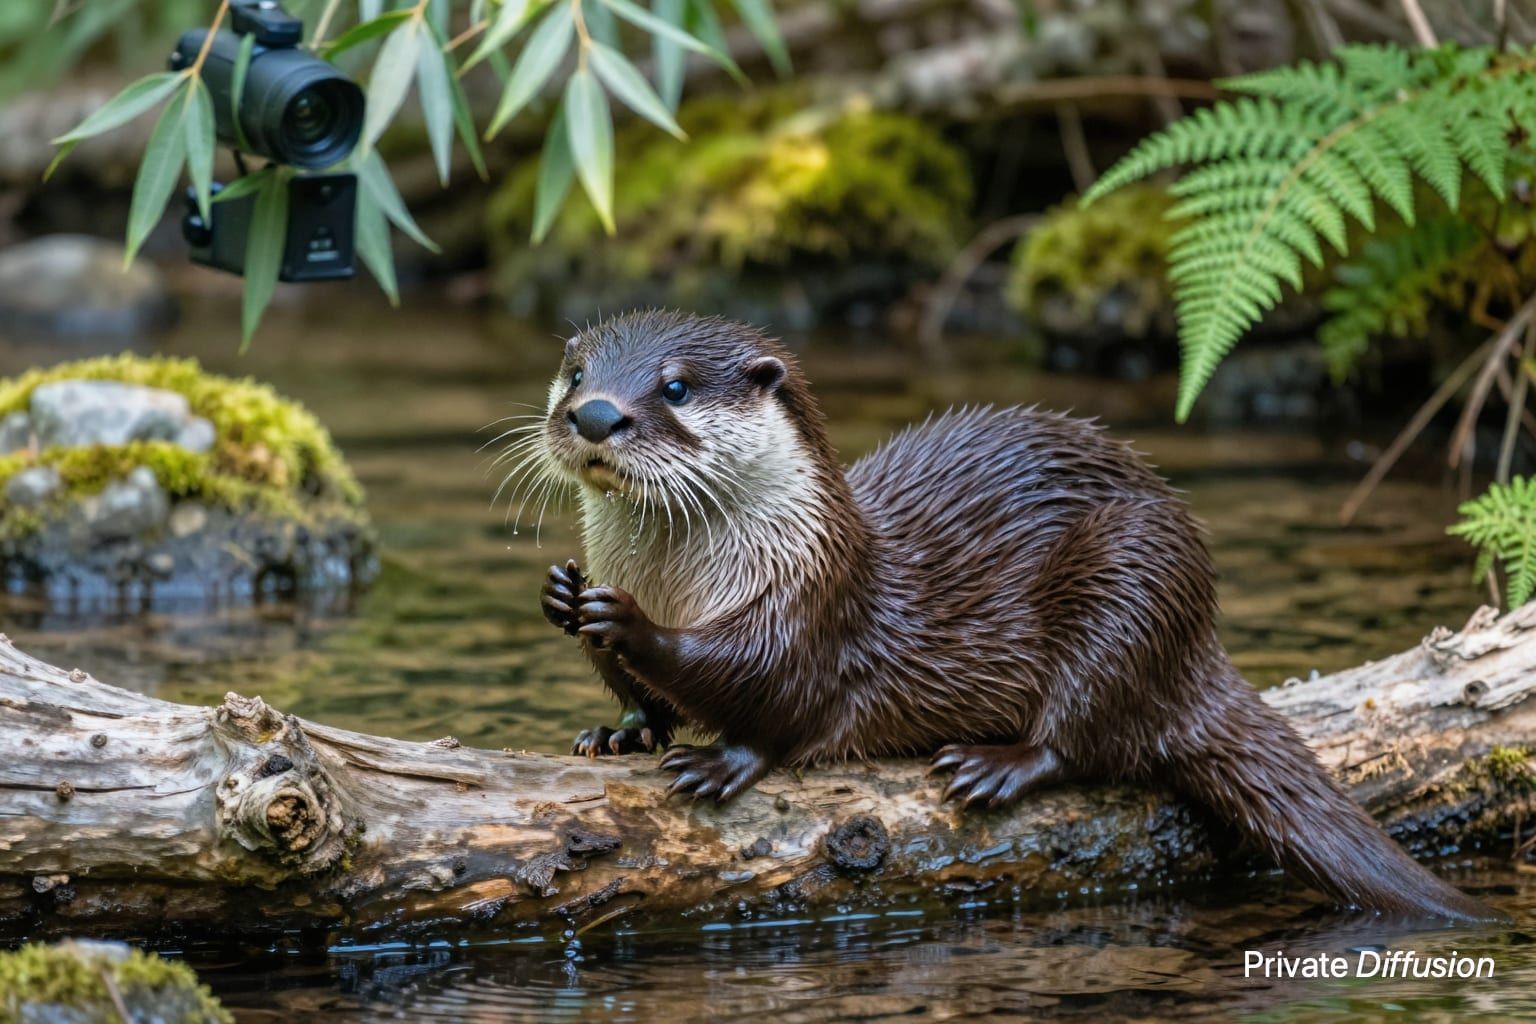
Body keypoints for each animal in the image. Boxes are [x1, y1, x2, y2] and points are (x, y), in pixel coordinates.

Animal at [525, 310, 1494, 921]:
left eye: (676, 387)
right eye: (576, 373)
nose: (596, 414)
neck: (691, 582)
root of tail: (1202, 642)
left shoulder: (808, 610)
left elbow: (762, 692)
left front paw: (694, 727)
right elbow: (641, 696)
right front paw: (600, 683)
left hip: (1131, 581)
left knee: (1092, 735)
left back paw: (998, 765)